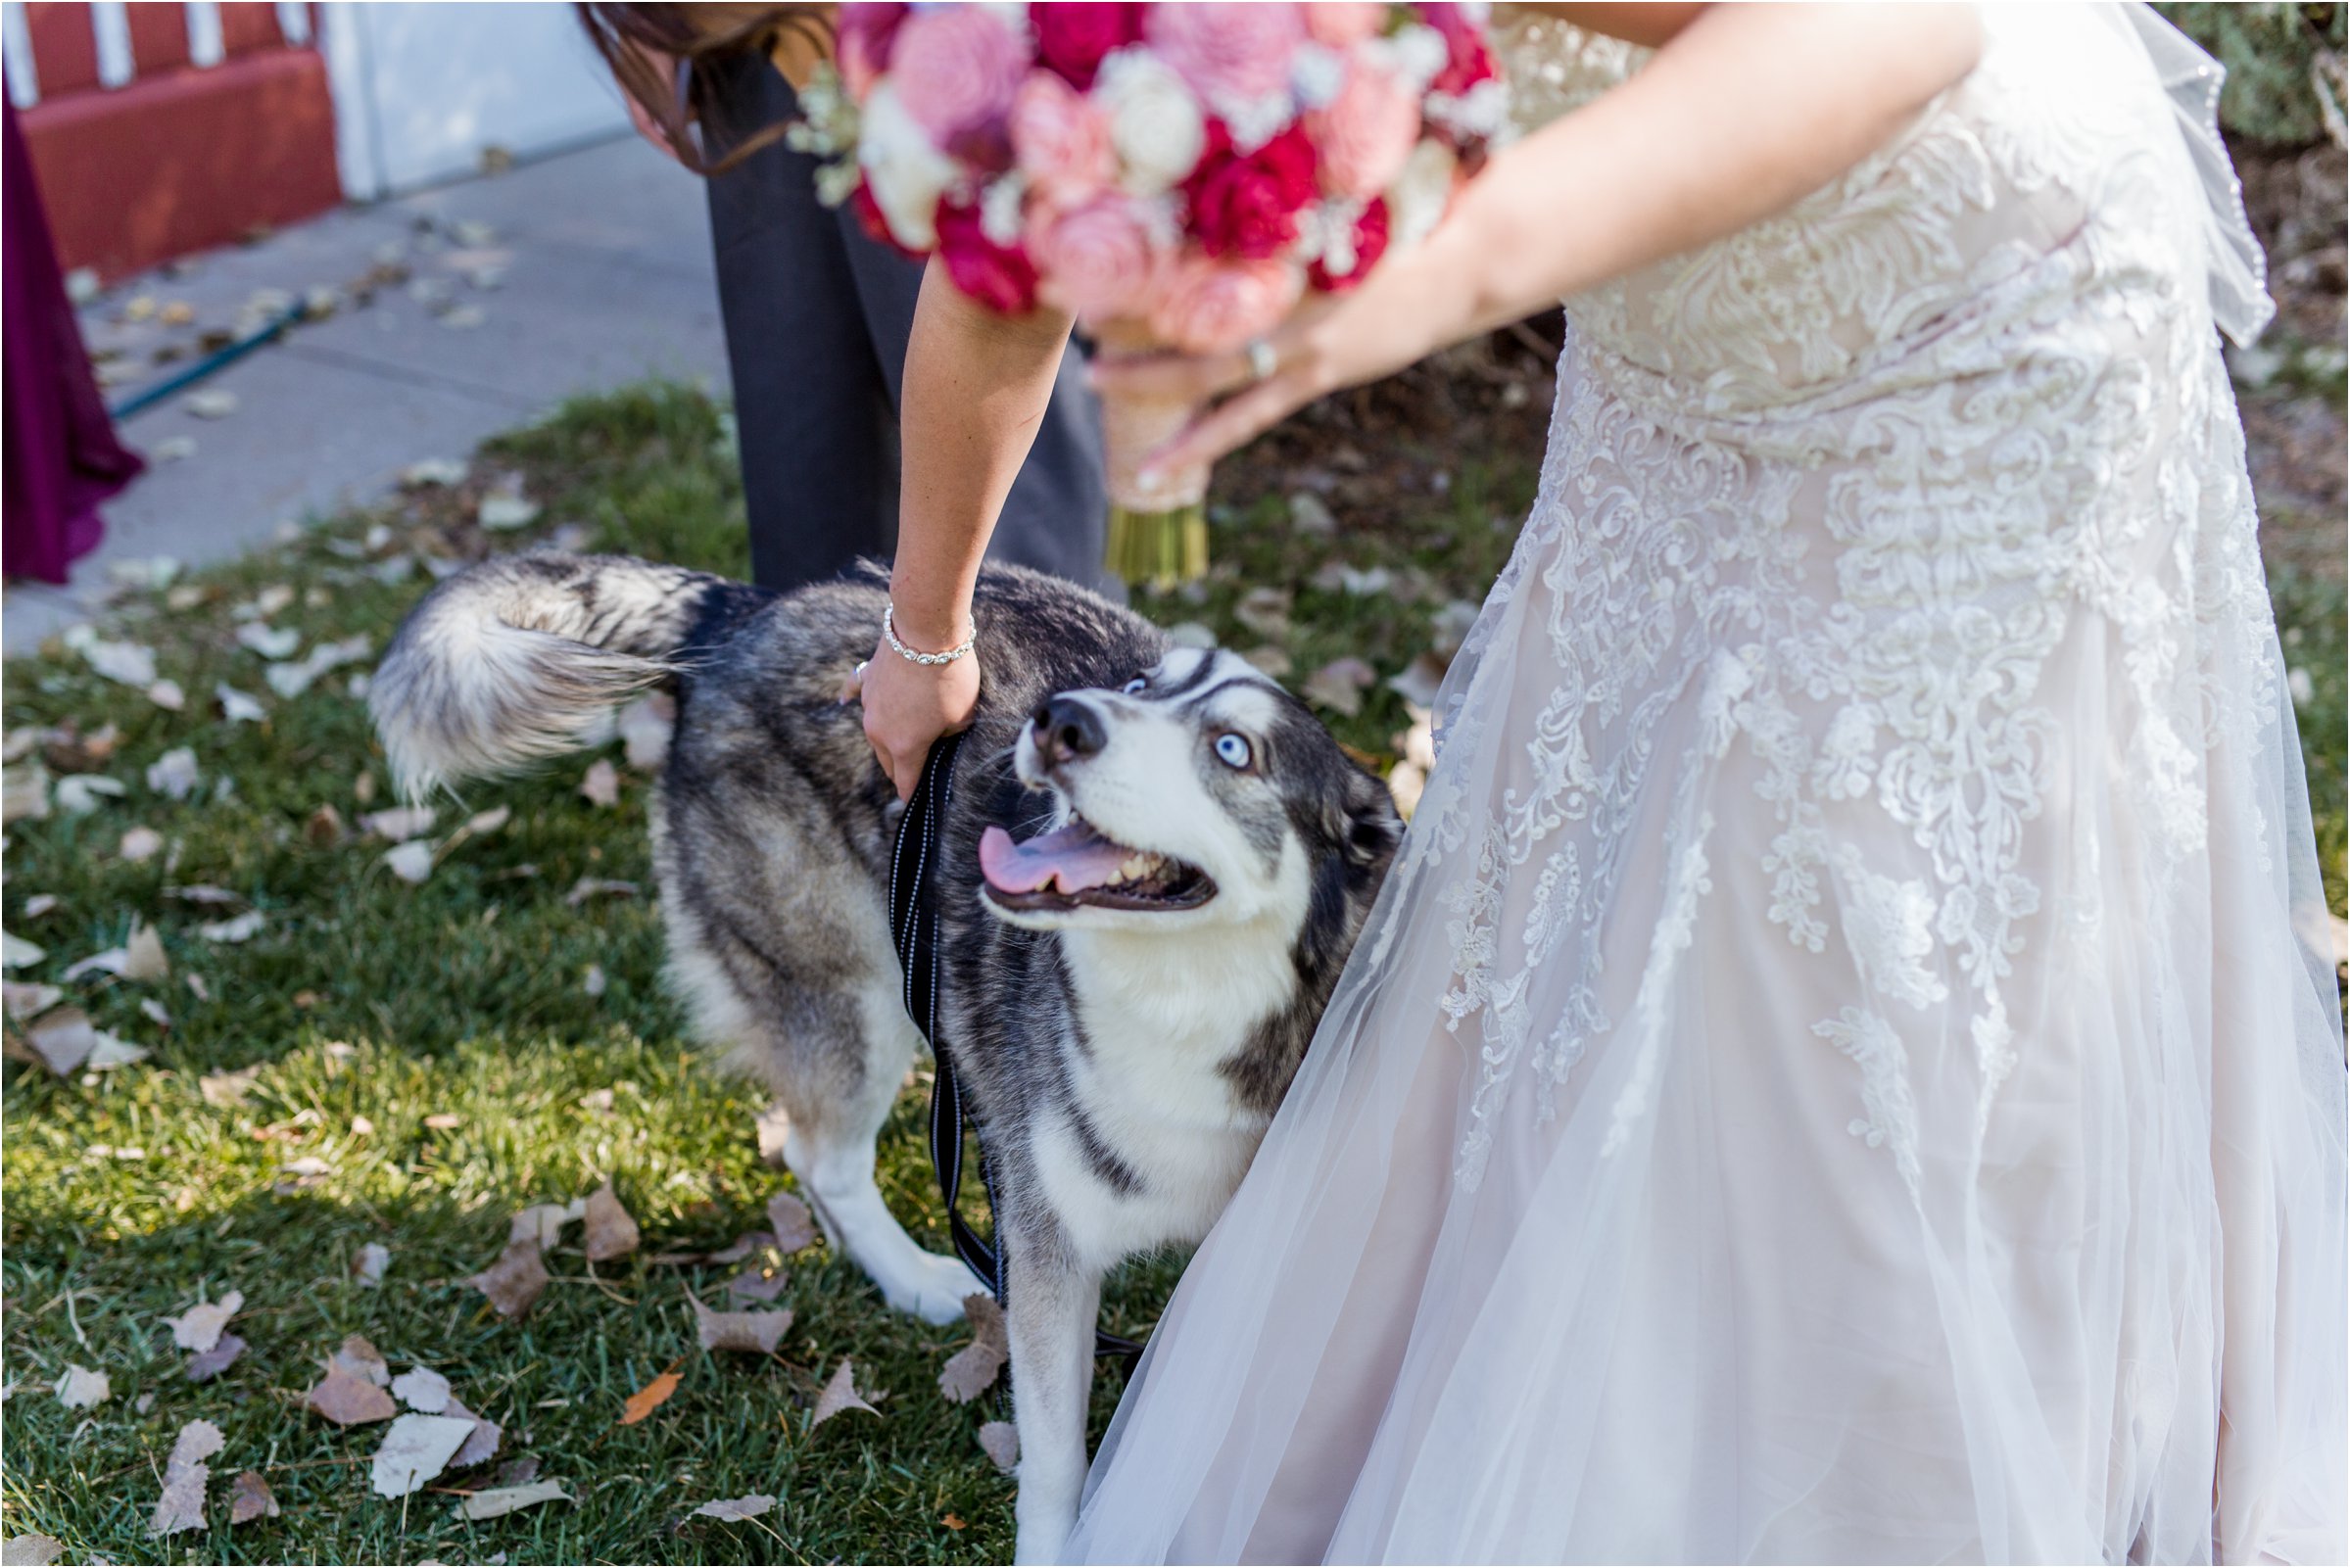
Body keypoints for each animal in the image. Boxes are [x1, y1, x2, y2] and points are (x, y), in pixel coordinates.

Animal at [366, 552, 1391, 1560]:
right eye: (1140, 687)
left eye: (1232, 749)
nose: (1060, 720)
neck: (1183, 1010)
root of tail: (744, 610)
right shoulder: (1045, 1253)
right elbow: (1055, 1461)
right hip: (860, 998)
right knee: (819, 1154)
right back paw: (908, 1275)